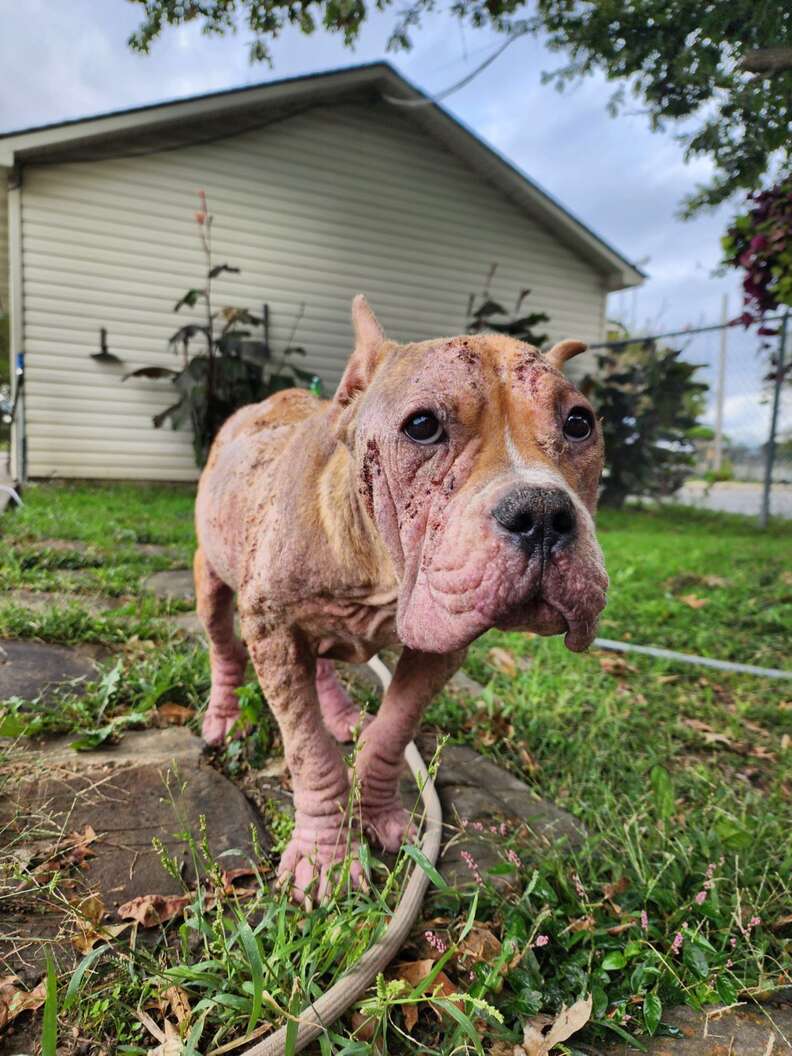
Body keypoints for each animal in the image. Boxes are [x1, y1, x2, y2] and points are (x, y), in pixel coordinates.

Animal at [195, 295, 612, 899]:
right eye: (422, 426)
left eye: (580, 423)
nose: (541, 513)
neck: (381, 567)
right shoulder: (271, 629)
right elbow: (308, 750)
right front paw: (326, 856)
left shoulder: (441, 650)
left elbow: (391, 735)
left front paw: (380, 814)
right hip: (214, 580)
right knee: (224, 647)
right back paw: (223, 717)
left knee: (322, 664)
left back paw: (340, 711)